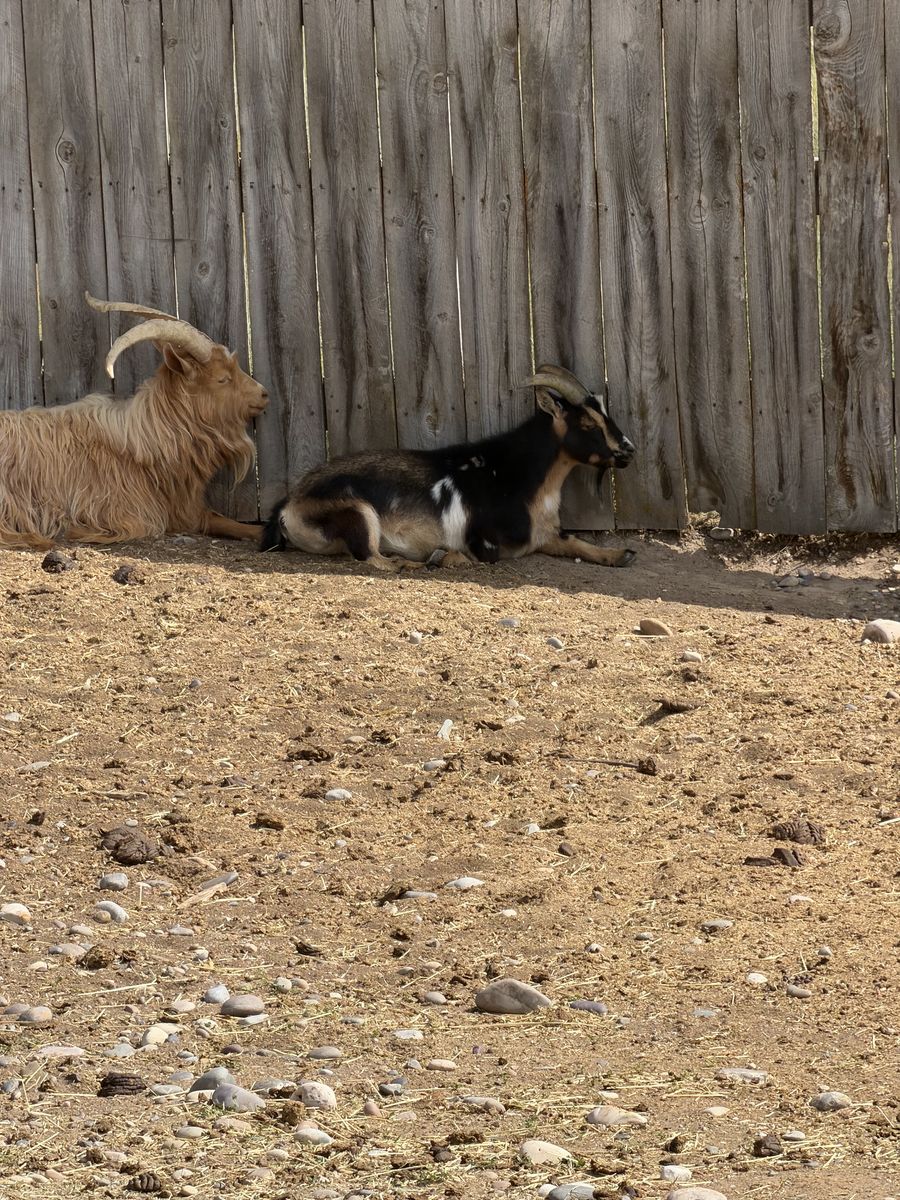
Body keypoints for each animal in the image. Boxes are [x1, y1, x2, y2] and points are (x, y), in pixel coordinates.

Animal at [0, 293, 268, 549]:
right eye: (223, 379)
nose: (263, 393)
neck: (148, 438)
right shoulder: (127, 513)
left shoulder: (184, 511)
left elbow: (220, 520)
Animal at [261, 364, 635, 571]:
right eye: (587, 424)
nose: (628, 450)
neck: (520, 479)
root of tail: (289, 503)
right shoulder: (484, 541)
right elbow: (483, 556)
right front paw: (445, 556)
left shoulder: (544, 534)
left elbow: (577, 544)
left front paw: (621, 554)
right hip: (358, 512)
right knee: (371, 557)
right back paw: (411, 562)